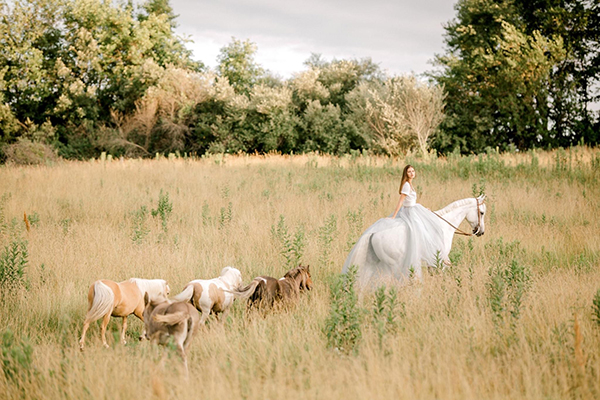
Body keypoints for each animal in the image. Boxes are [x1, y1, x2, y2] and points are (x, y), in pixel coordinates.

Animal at [342, 195, 488, 286]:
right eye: (482, 213)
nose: (481, 232)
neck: (442, 226)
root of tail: (373, 233)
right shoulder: (440, 262)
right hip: (393, 265)